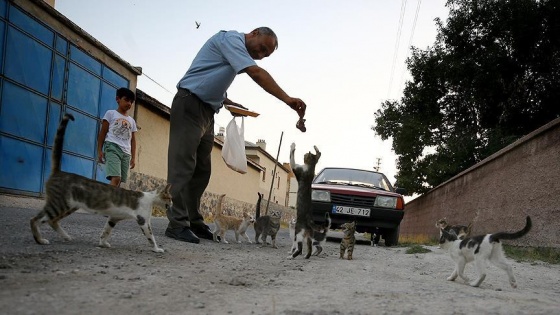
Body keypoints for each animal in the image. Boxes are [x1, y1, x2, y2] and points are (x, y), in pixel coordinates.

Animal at [30, 113, 171, 254]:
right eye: (170, 198)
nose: (172, 204)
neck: (151, 198)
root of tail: (59, 172)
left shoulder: (113, 218)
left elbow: (106, 231)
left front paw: (102, 243)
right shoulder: (143, 221)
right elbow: (151, 237)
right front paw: (157, 249)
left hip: (70, 206)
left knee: (52, 221)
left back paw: (65, 236)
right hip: (59, 203)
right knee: (35, 219)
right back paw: (40, 240)